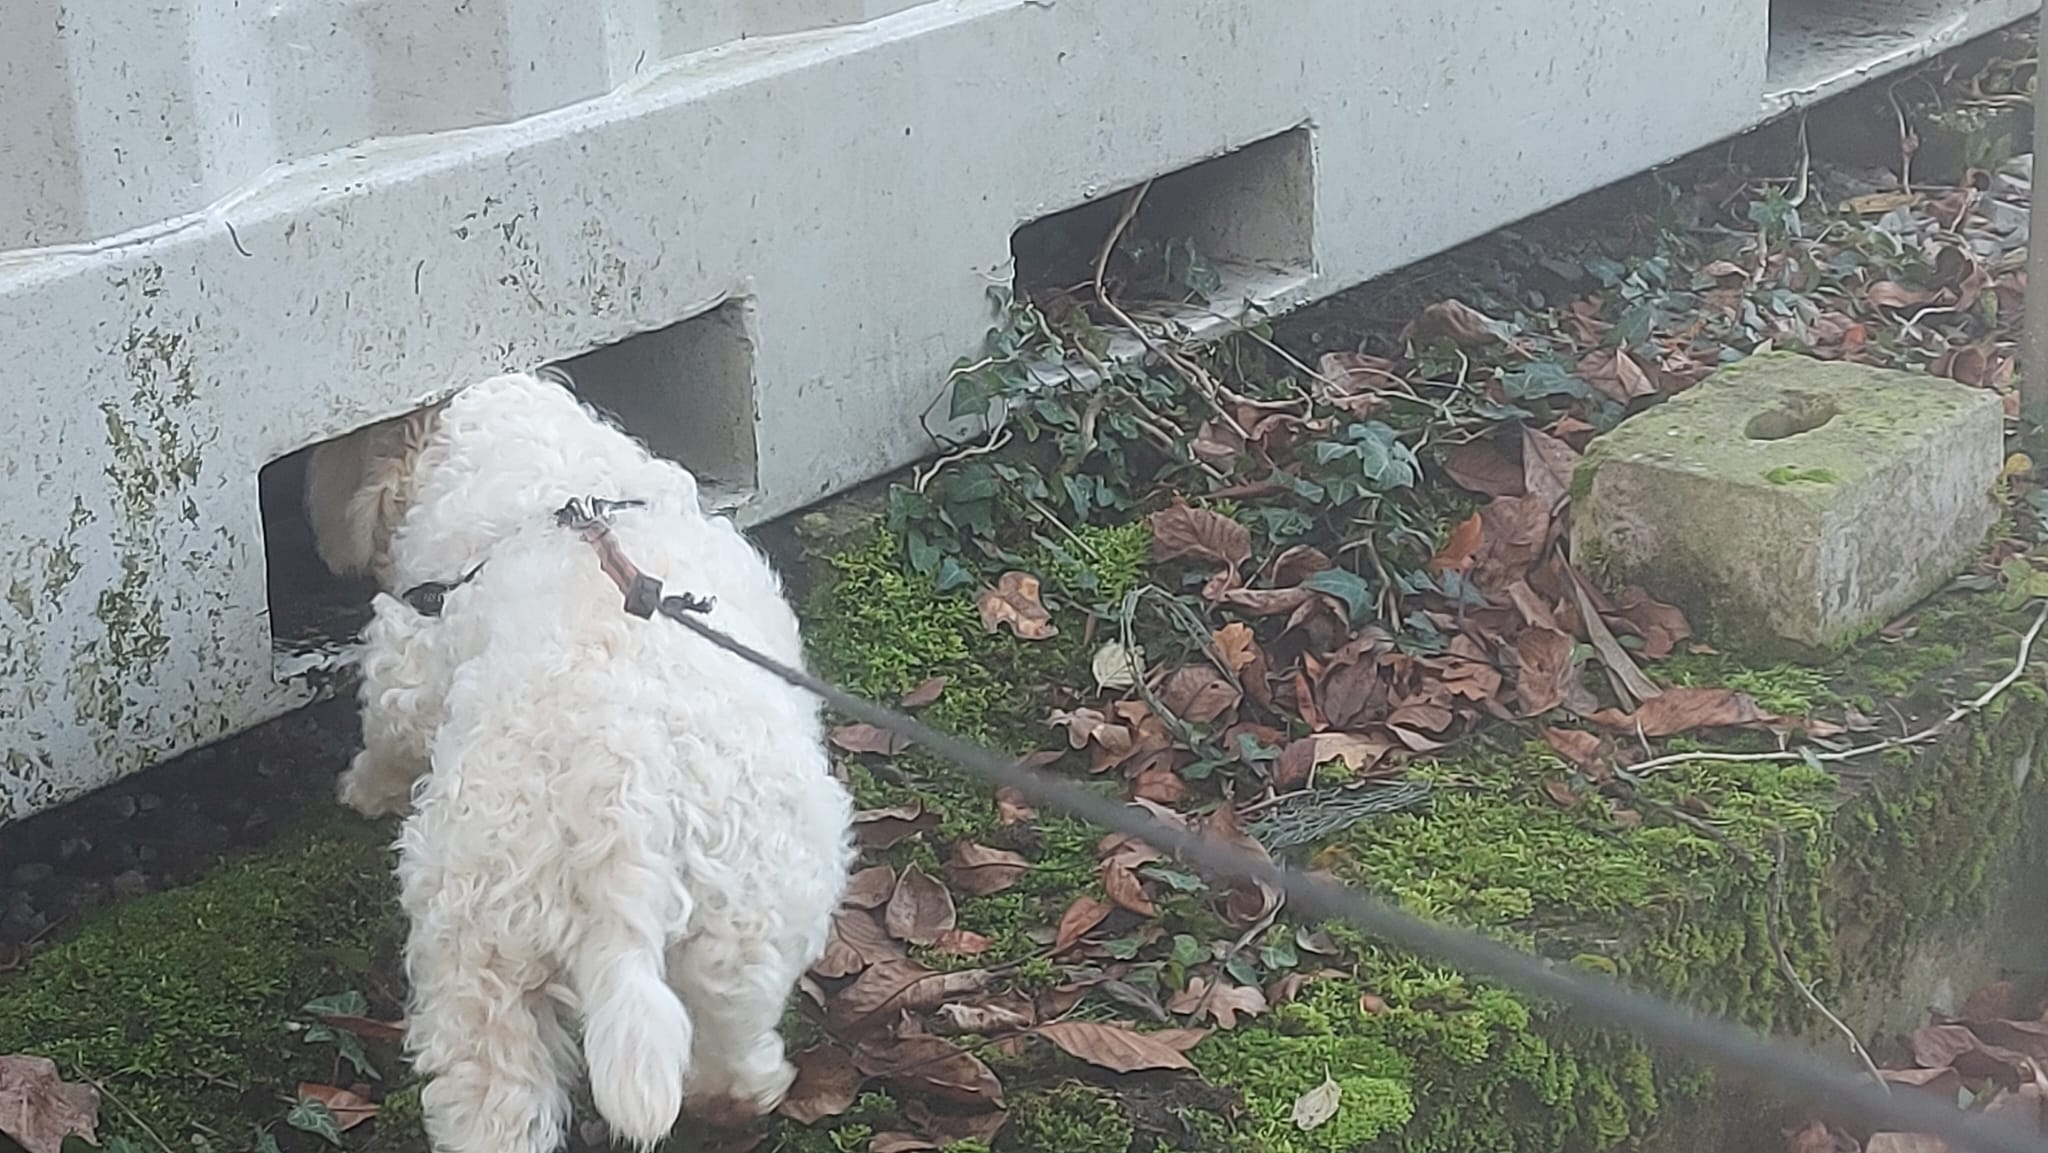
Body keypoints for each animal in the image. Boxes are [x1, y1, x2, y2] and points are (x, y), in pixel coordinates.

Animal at [304, 372, 855, 1153]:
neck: (553, 479)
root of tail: (623, 819)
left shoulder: (406, 653)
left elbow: (387, 728)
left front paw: (361, 788)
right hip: (747, 920)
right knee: (730, 1032)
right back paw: (741, 1094)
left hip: (477, 938)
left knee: (492, 1093)